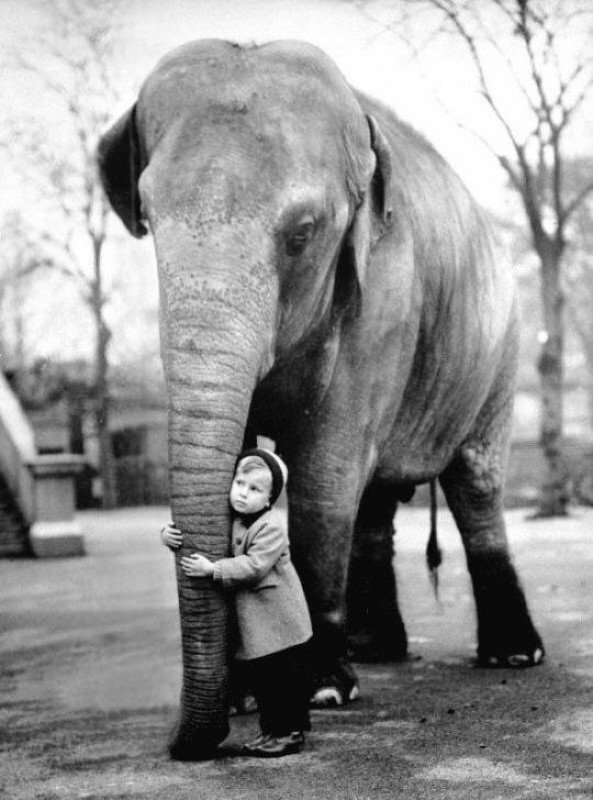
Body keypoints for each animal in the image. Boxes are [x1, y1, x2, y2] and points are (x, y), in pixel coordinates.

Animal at [96, 39, 540, 764]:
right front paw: (252, 696)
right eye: (149, 219)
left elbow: (324, 481)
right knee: (379, 498)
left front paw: (320, 690)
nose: (184, 743)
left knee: (474, 484)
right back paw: (377, 651)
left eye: (302, 234)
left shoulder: (385, 294)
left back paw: (512, 658)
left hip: (500, 348)